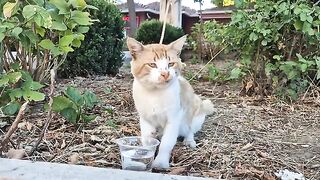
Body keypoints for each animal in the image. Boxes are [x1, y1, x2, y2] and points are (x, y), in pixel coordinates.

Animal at [126, 35, 214, 169]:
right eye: (152, 64)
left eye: (171, 64)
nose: (165, 73)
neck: (154, 93)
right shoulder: (145, 119)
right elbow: (147, 139)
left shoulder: (173, 119)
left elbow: (167, 142)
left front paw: (160, 162)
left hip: (194, 112)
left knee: (190, 129)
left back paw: (189, 140)